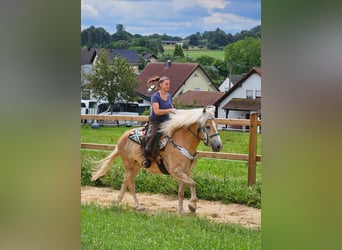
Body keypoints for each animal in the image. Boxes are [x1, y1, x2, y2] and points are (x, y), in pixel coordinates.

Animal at [91, 105, 223, 213]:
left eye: (216, 126)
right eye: (208, 126)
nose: (219, 146)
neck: (182, 142)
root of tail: (123, 137)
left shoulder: (185, 172)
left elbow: (182, 191)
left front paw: (181, 210)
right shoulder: (176, 172)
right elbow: (193, 183)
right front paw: (192, 206)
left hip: (136, 166)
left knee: (125, 182)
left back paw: (118, 202)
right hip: (129, 165)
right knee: (131, 184)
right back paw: (138, 206)